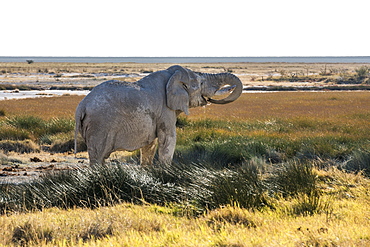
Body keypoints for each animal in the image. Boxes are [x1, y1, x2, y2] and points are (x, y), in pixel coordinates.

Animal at [74, 65, 243, 166]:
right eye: (200, 84)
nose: (209, 99)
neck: (172, 76)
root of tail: (81, 106)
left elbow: (150, 144)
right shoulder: (165, 110)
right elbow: (169, 139)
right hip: (99, 125)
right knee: (98, 156)